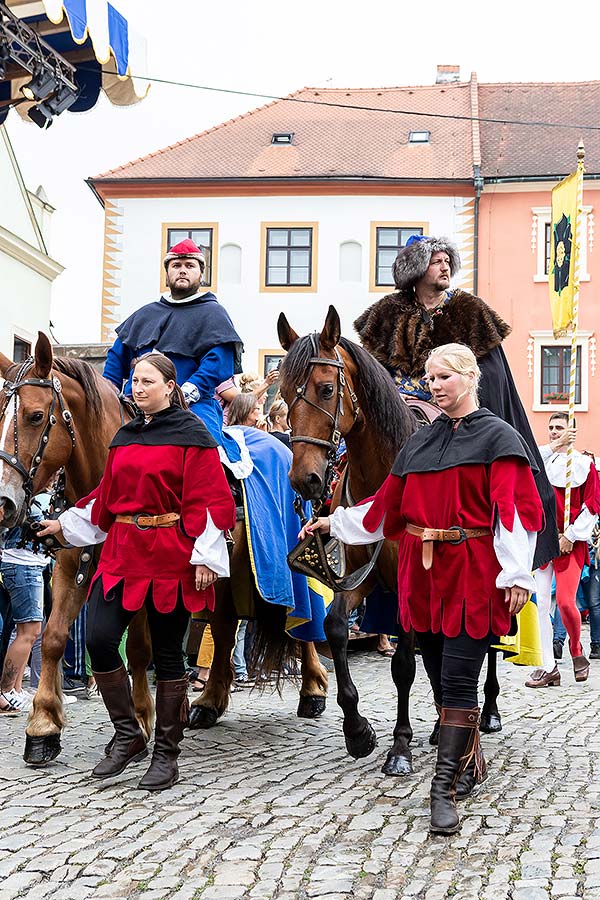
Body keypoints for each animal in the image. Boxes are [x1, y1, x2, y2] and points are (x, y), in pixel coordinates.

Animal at [0, 334, 154, 764]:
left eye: (36, 416)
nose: (2, 502)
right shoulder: (72, 569)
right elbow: (53, 638)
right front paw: (43, 726)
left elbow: (138, 650)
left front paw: (140, 719)